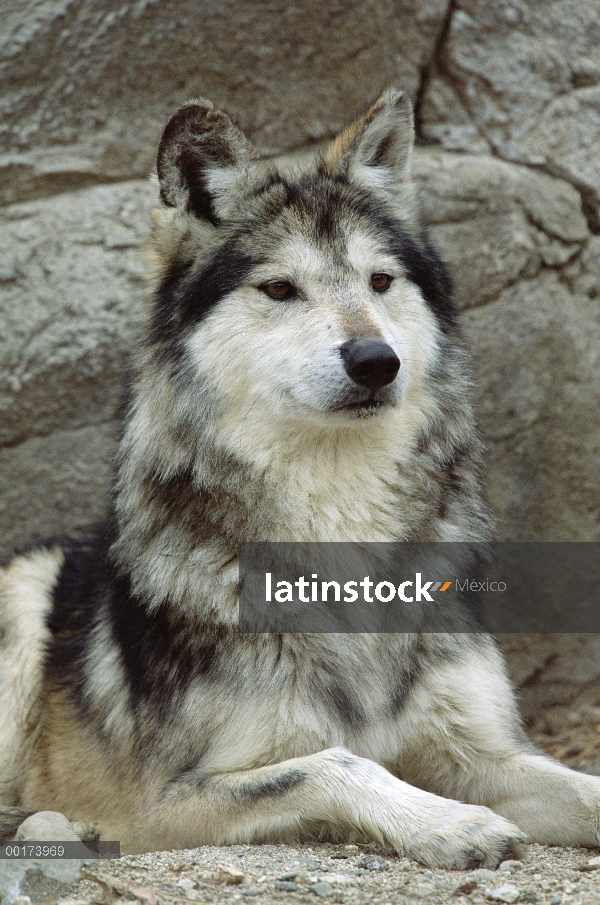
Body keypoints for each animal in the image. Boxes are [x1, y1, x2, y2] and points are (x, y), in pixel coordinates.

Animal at [1, 90, 600, 860]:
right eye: (281, 288)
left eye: (381, 281)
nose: (376, 361)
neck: (342, 533)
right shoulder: (156, 804)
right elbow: (340, 761)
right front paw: (454, 823)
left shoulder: (483, 752)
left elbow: (583, 785)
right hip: (24, 592)